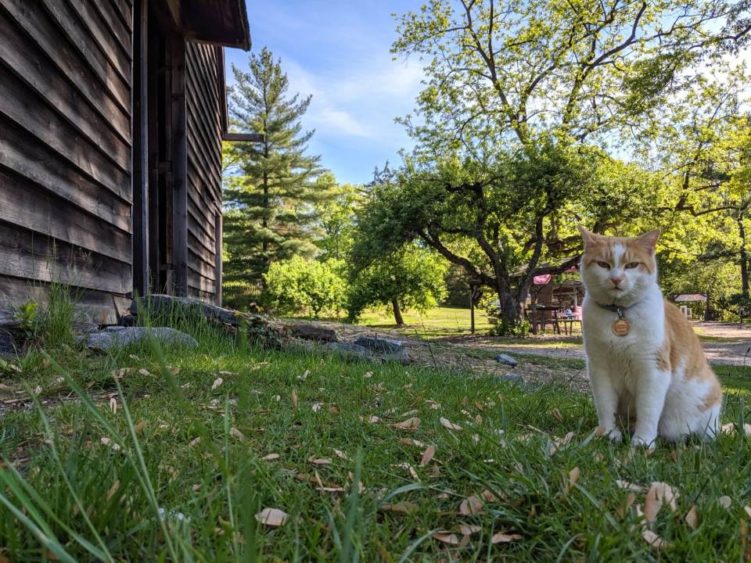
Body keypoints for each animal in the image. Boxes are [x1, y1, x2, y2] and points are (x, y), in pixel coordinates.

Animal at [580, 227, 724, 448]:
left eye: (632, 265)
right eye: (603, 264)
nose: (616, 279)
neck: (619, 312)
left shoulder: (653, 368)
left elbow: (648, 409)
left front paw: (643, 442)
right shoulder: (599, 367)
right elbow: (605, 405)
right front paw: (609, 434)